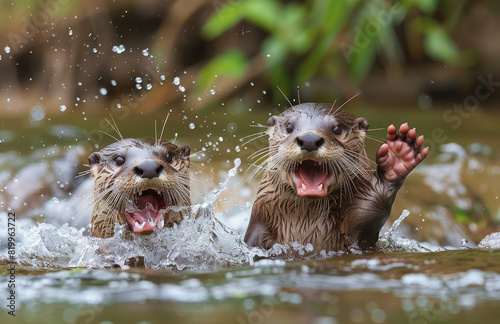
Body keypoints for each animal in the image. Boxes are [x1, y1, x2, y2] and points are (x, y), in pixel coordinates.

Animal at [244, 102, 428, 252]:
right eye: (289, 126)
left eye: (337, 128)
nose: (309, 139)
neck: (306, 223)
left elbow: (374, 207)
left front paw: (399, 156)